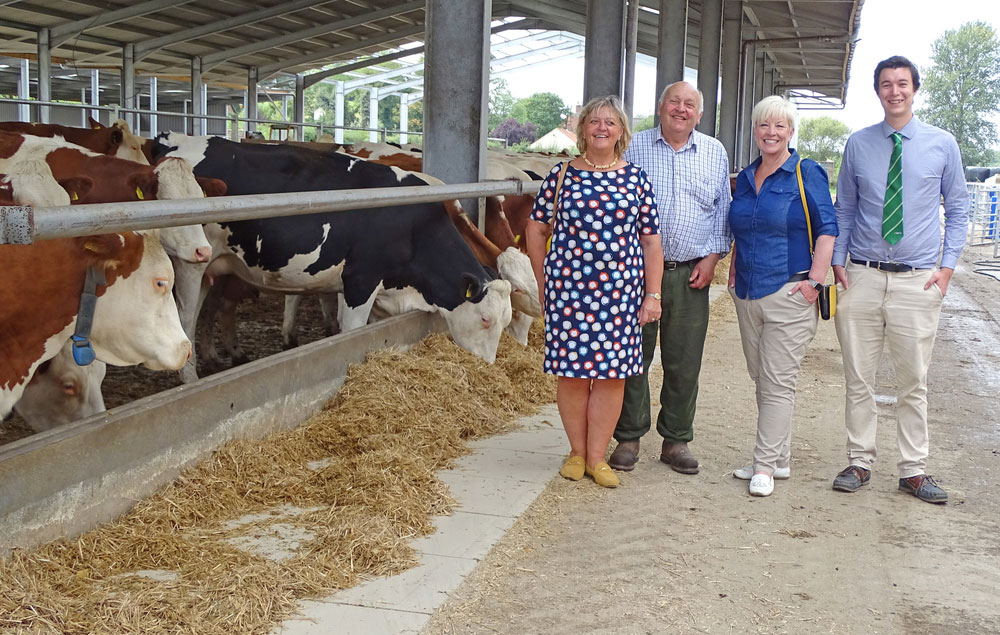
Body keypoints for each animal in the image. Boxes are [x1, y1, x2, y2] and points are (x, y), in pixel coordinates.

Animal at [146, 130, 516, 378]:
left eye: (506, 320)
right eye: (486, 319)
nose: (488, 367)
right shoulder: (360, 282)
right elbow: (350, 333)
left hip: (215, 265)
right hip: (191, 261)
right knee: (185, 318)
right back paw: (190, 378)